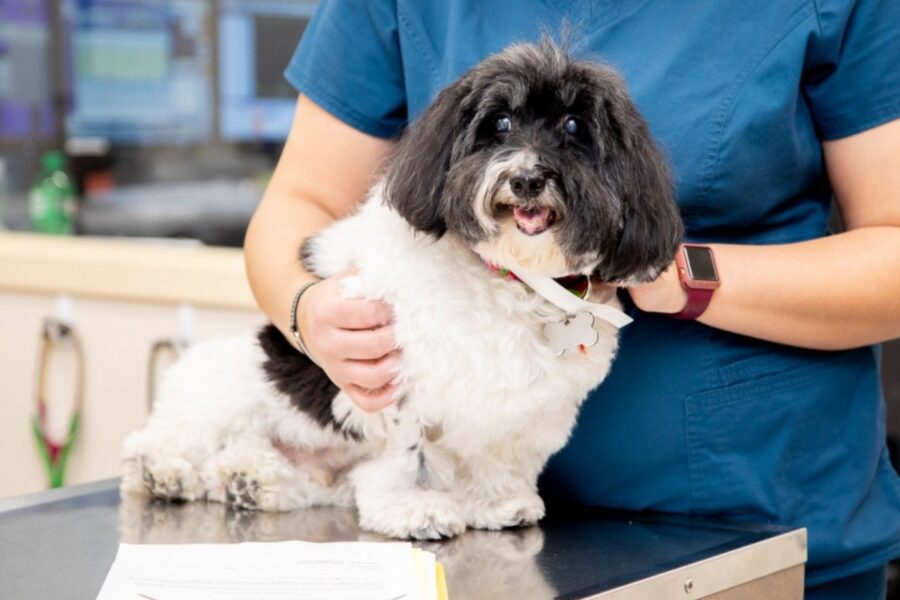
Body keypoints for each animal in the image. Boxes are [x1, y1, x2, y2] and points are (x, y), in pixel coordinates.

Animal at [121, 41, 684, 540]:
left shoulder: (529, 405)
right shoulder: (390, 377)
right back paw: (163, 471)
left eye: (573, 128)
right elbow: (405, 453)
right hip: (217, 396)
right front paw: (414, 506)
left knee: (258, 466)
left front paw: (495, 499)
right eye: (500, 124)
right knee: (166, 441)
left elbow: (500, 454)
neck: (510, 275)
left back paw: (249, 480)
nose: (526, 178)